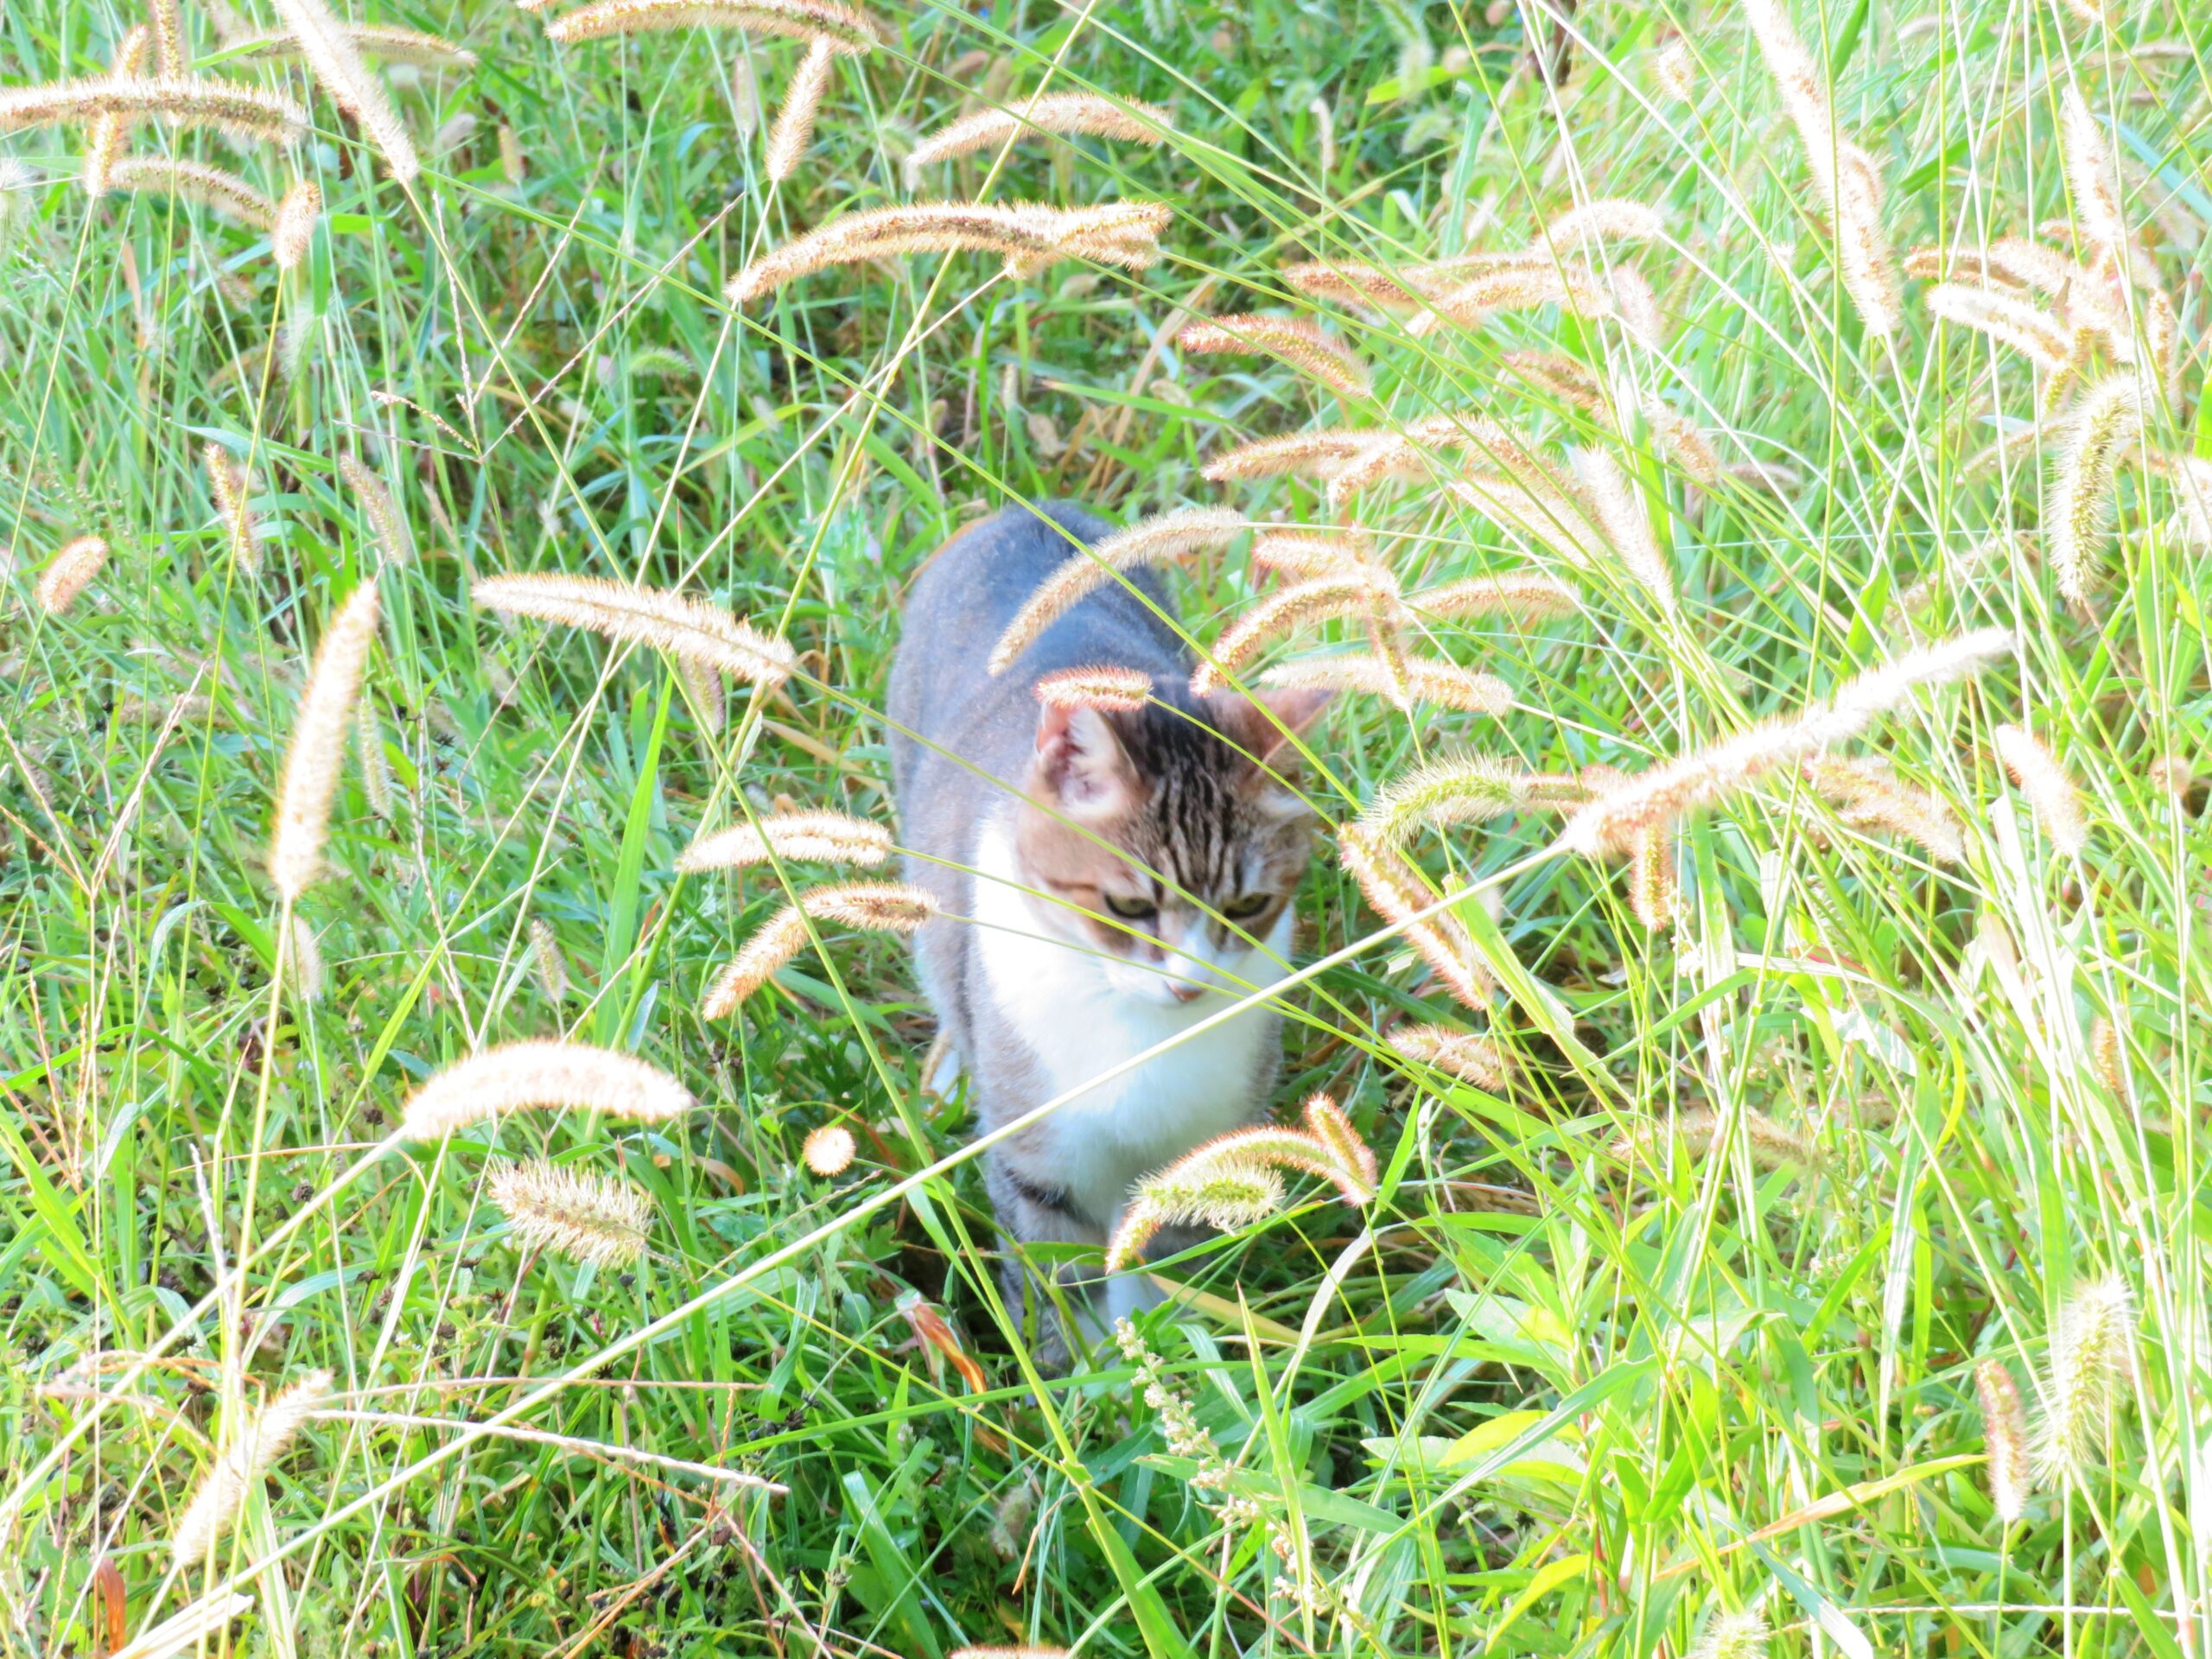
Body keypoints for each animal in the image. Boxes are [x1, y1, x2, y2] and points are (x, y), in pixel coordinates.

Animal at [885, 499, 1327, 1371]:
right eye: (1128, 907)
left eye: (1248, 908)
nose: (1187, 984)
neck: (1136, 1033)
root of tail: (1026, 511)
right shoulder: (1038, 1151)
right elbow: (1057, 1271)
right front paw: (1080, 1379)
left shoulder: (1201, 1147)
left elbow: (1170, 1261)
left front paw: (1170, 1354)